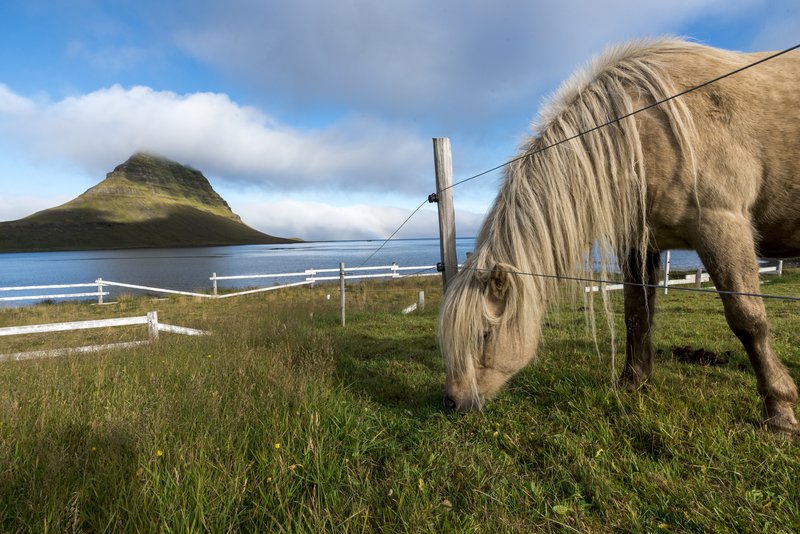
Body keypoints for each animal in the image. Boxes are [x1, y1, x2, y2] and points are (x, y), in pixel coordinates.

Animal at [438, 38, 800, 435]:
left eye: (484, 335)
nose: (453, 402)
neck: (644, 128)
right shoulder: (640, 245)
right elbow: (637, 315)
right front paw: (634, 384)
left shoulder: (722, 227)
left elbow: (748, 320)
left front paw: (780, 412)